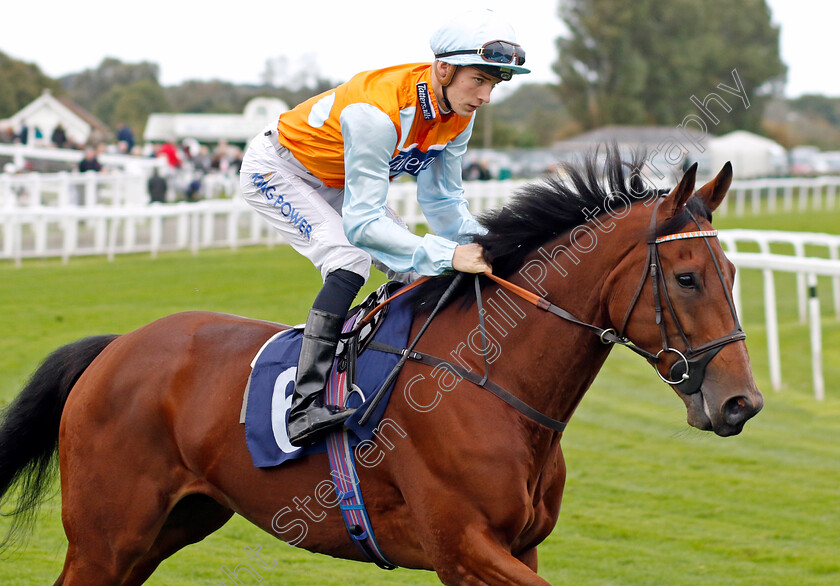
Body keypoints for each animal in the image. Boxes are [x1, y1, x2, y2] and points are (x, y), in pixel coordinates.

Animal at [0, 153, 760, 580]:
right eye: (687, 278)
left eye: (731, 271)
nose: (741, 403)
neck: (491, 382)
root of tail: (116, 347)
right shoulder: (464, 549)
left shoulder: (519, 547)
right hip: (105, 537)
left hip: (170, 525)